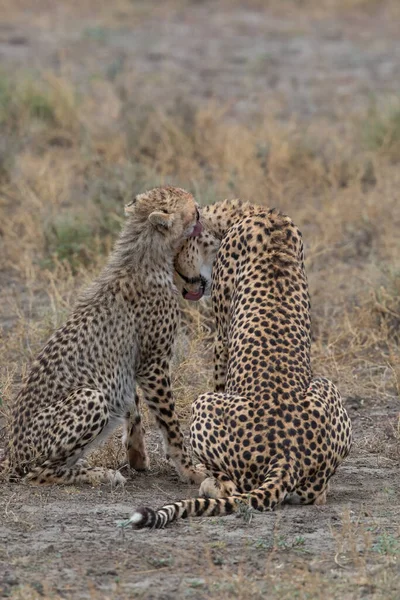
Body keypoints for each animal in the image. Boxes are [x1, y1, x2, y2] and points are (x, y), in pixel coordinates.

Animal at [4, 185, 206, 486]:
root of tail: (12, 455)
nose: (201, 209)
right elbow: (170, 424)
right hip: (90, 397)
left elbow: (133, 407)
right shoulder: (153, 364)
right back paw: (101, 473)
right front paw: (190, 470)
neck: (145, 256)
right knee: (38, 473)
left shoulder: (131, 363)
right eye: (191, 206)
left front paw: (138, 457)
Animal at [127, 199, 350, 528]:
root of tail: (287, 457)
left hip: (204, 403)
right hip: (326, 387)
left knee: (233, 487)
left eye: (177, 255)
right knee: (317, 494)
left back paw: (209, 483)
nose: (183, 287)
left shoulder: (222, 339)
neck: (253, 213)